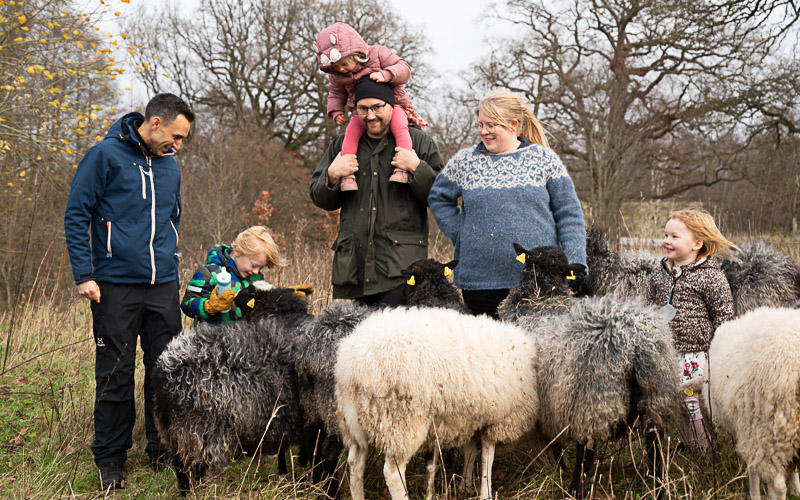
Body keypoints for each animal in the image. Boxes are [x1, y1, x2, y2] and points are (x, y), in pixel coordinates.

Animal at [332, 304, 536, 500]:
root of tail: (351, 367)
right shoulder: (497, 418)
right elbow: (488, 458)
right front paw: (485, 493)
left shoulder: (468, 419)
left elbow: (469, 451)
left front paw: (464, 485)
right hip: (402, 421)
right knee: (392, 471)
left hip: (352, 421)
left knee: (355, 462)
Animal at [704, 306, 800, 498]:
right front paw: (796, 488)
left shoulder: (752, 430)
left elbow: (753, 469)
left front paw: (754, 493)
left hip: (771, 432)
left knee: (778, 487)